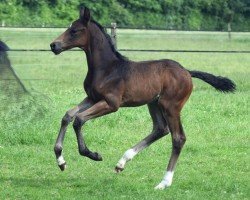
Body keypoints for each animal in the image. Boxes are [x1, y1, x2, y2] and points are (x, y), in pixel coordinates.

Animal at [49, 7, 235, 189]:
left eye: (74, 30)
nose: (54, 45)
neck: (107, 69)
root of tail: (187, 72)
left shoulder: (111, 103)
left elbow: (79, 120)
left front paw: (92, 154)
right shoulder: (92, 98)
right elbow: (68, 116)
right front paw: (60, 161)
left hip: (170, 106)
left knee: (178, 138)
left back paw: (164, 182)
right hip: (154, 103)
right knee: (160, 129)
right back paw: (122, 162)